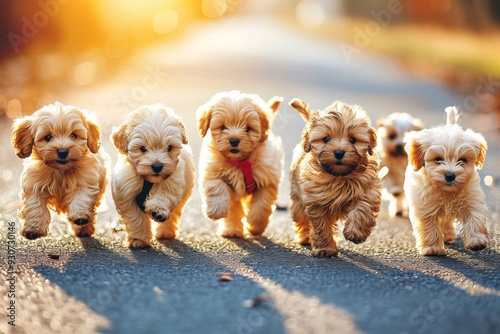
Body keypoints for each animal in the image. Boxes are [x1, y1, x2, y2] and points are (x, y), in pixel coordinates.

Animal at [10, 102, 107, 240]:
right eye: (48, 137)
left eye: (73, 135)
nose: (62, 152)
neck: (60, 171)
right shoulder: (33, 184)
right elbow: (35, 205)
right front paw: (33, 229)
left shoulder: (86, 179)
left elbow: (81, 196)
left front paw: (80, 216)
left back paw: (83, 228)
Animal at [110, 104, 194, 248]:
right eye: (143, 148)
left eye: (169, 148)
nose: (157, 166)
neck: (147, 180)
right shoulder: (126, 192)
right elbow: (135, 217)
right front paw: (138, 240)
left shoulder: (172, 182)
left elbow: (163, 196)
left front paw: (158, 210)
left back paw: (165, 232)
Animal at [196, 90, 284, 239]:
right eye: (223, 127)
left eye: (248, 128)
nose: (234, 140)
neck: (241, 161)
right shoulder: (212, 171)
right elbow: (217, 186)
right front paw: (216, 210)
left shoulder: (267, 180)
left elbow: (261, 205)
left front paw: (255, 226)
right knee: (234, 210)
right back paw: (232, 231)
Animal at [288, 98, 380, 258]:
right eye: (326, 139)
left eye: (353, 139)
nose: (338, 152)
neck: (339, 177)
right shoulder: (316, 200)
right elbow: (321, 226)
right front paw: (325, 249)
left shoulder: (369, 190)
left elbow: (362, 208)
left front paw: (355, 233)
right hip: (297, 199)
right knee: (301, 218)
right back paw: (305, 237)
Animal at [402, 107, 488, 256]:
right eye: (438, 159)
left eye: (463, 160)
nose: (450, 175)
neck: (447, 192)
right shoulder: (425, 206)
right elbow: (429, 226)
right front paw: (432, 248)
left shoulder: (472, 199)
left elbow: (474, 217)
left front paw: (477, 241)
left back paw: (448, 235)